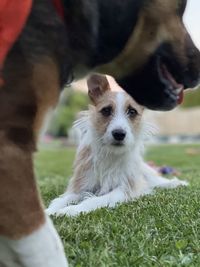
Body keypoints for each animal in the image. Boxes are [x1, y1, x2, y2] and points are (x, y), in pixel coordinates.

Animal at [47, 74, 188, 217]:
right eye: (106, 110)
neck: (110, 153)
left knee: (158, 181)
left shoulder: (123, 189)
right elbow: (62, 199)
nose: (119, 134)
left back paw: (177, 183)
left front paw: (72, 210)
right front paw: (49, 212)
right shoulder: (81, 185)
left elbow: (96, 200)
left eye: (132, 111)